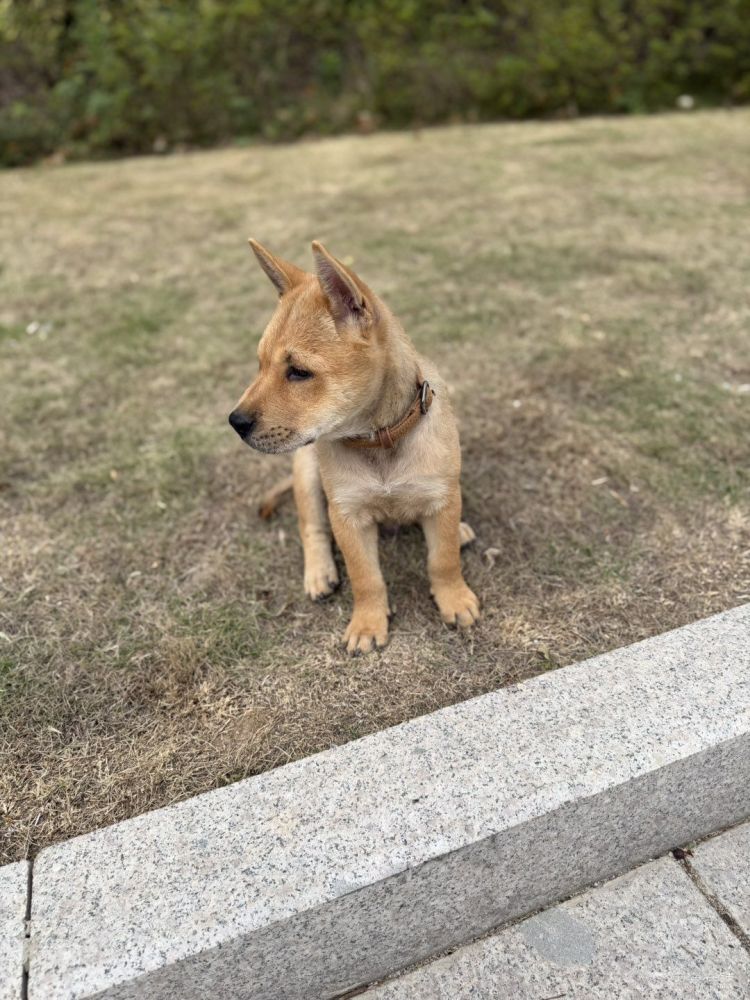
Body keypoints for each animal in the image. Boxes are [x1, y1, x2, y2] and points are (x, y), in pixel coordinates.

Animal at [229, 240, 479, 654]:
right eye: (260, 364)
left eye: (299, 372)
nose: (235, 422)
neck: (379, 441)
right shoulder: (347, 516)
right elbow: (366, 577)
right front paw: (367, 623)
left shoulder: (441, 496)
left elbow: (442, 560)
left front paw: (454, 598)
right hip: (306, 472)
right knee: (310, 526)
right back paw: (319, 572)